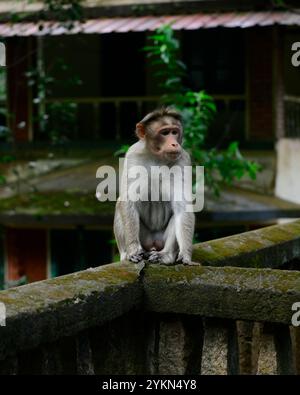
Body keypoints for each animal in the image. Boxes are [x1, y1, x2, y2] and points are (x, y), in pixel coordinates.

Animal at [113, 107, 195, 266]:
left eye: (174, 132)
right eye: (165, 133)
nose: (175, 144)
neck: (157, 157)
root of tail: (153, 243)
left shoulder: (183, 158)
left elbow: (182, 205)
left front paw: (186, 256)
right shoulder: (133, 154)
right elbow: (128, 199)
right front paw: (133, 249)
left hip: (160, 240)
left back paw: (166, 256)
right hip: (144, 238)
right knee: (120, 205)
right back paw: (126, 254)